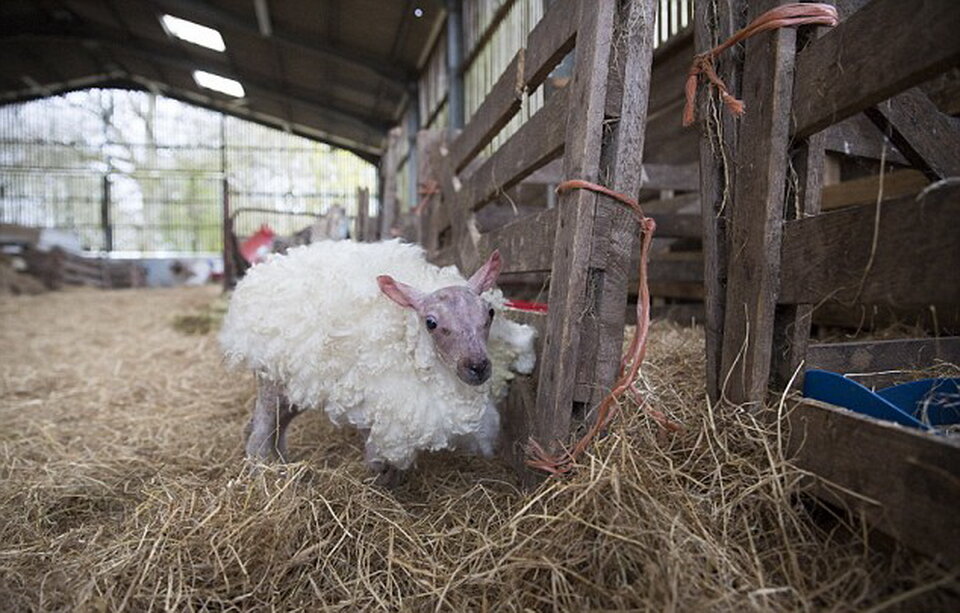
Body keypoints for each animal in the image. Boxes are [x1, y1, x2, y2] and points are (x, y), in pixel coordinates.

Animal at [219, 237, 540, 480]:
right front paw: (381, 485)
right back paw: (263, 473)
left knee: (274, 427)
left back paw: (283, 462)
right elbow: (378, 463)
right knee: (259, 435)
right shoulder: (378, 411)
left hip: (293, 389)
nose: (477, 366)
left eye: (490, 313)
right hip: (270, 380)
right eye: (431, 323)